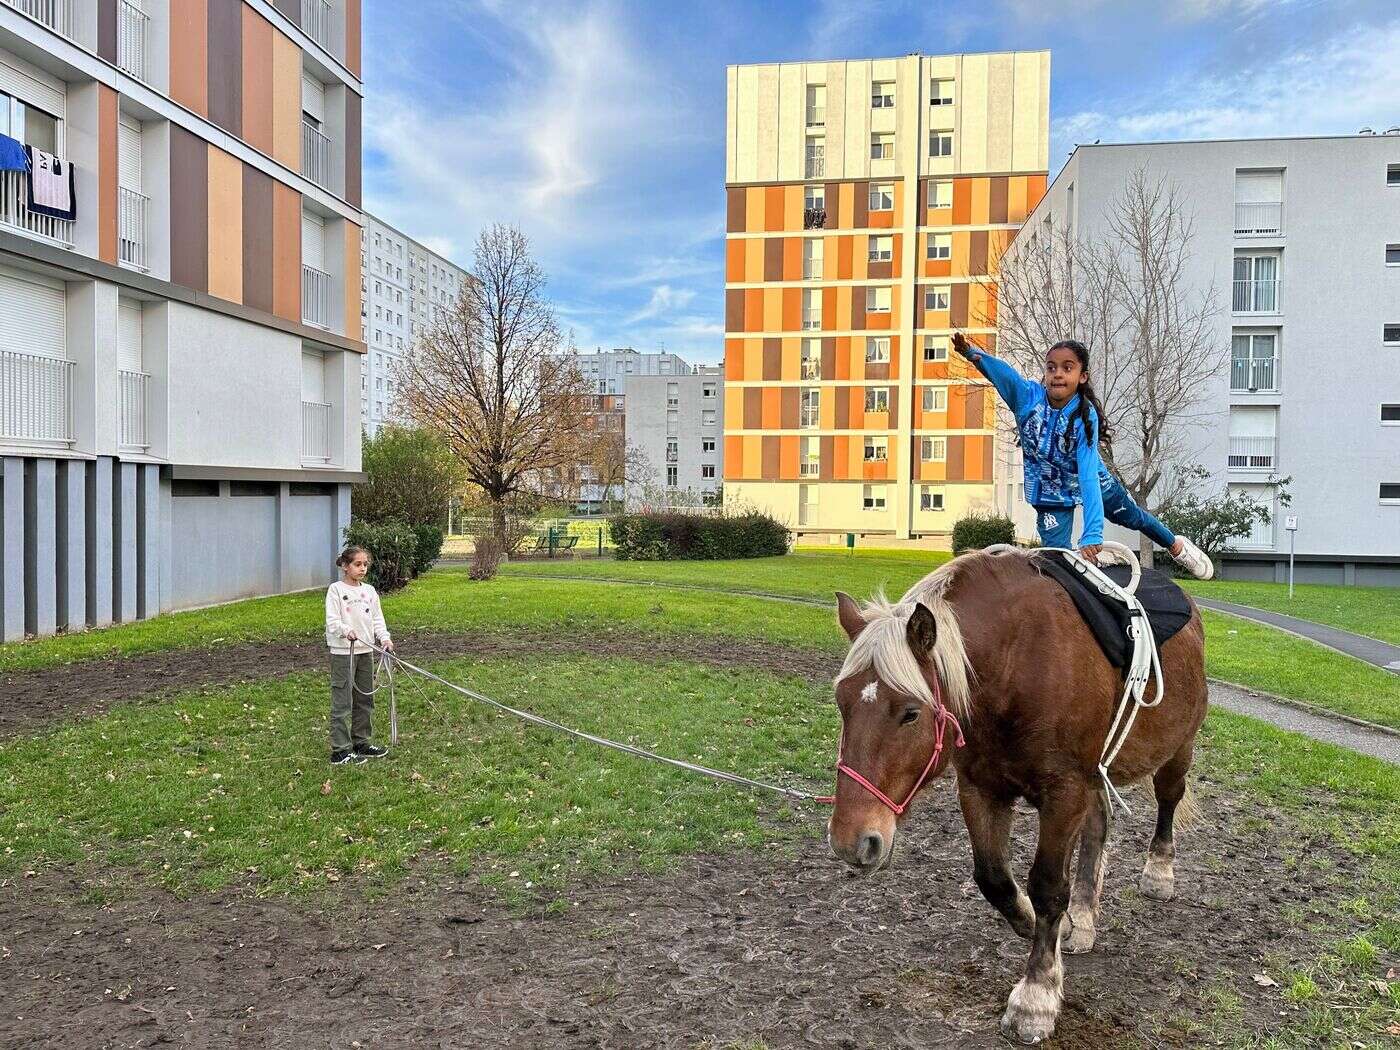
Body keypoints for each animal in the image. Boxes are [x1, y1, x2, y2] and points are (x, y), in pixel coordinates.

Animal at [823, 551, 1209, 1047]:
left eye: (910, 713)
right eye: (842, 702)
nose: (851, 840)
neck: (1016, 664)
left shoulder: (1064, 790)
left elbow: (1047, 887)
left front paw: (1037, 995)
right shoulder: (980, 788)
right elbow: (994, 879)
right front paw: (1045, 926)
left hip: (1177, 749)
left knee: (1168, 799)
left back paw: (1159, 871)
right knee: (1098, 825)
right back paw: (1083, 916)